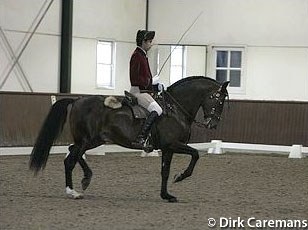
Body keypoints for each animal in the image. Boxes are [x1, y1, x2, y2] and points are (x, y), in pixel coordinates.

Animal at [30, 76, 229, 202]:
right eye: (219, 100)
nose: (212, 125)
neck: (175, 110)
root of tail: (77, 99)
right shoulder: (173, 144)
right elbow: (195, 154)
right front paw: (180, 177)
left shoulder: (168, 149)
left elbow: (165, 172)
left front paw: (166, 195)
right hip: (86, 140)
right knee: (71, 160)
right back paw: (74, 191)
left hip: (92, 140)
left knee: (73, 153)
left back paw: (85, 179)